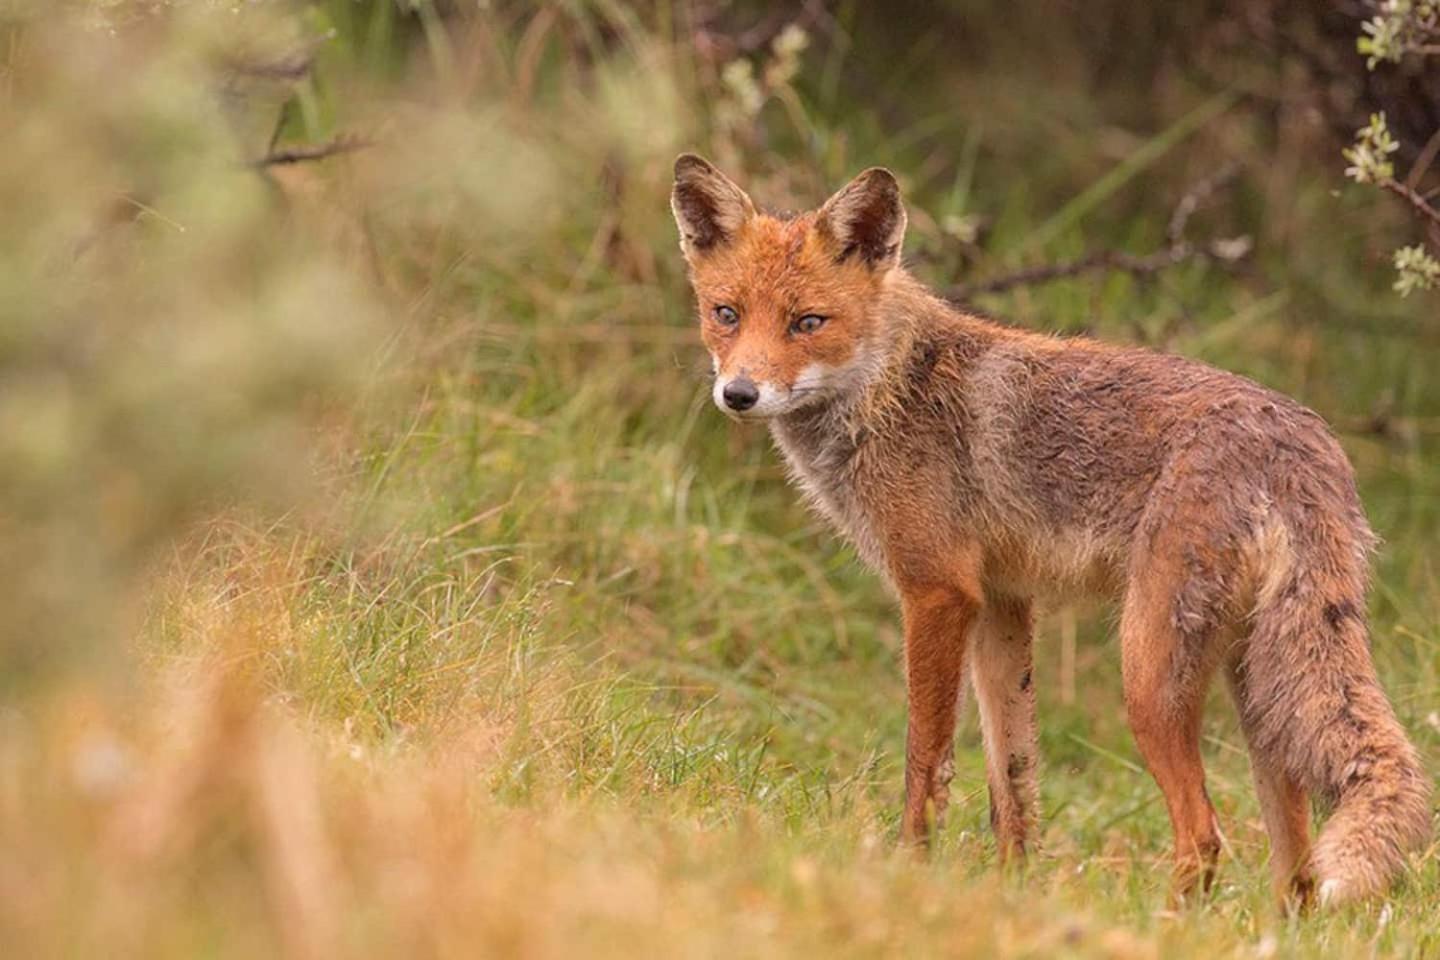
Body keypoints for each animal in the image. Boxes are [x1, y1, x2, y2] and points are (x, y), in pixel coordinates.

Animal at [668, 151, 1434, 909]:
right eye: (726, 314)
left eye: (807, 322)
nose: (739, 394)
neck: (891, 389)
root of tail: (1301, 439)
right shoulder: (1002, 606)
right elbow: (1012, 783)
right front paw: (1011, 892)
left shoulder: (937, 594)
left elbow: (926, 763)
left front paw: (908, 873)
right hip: (1259, 693)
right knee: (1295, 869)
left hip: (1148, 676)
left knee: (1205, 836)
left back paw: (1163, 922)